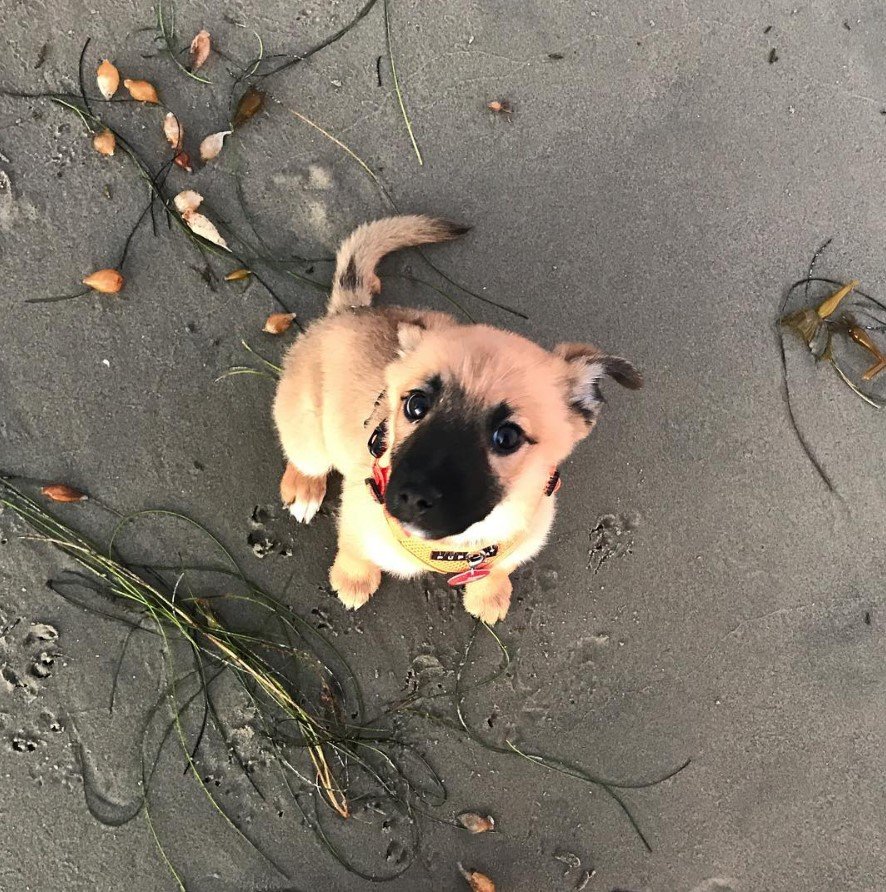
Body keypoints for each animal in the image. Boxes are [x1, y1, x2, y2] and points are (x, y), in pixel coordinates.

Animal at [274, 215, 640, 620]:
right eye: (415, 404)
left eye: (507, 437)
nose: (411, 498)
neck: (460, 547)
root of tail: (351, 311)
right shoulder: (358, 510)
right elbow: (354, 548)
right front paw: (353, 578)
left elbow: (499, 569)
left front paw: (488, 593)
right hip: (308, 430)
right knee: (305, 459)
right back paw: (305, 488)